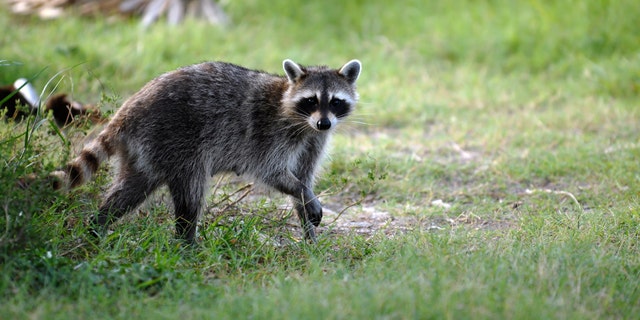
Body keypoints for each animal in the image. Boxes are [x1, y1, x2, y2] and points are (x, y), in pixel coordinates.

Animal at [58, 59, 360, 242]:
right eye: (311, 101)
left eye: (335, 101)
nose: (324, 123)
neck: (302, 120)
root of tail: (131, 106)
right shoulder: (269, 133)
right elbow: (272, 172)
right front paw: (305, 196)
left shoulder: (313, 141)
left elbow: (303, 177)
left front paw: (309, 229)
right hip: (175, 138)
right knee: (191, 193)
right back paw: (186, 241)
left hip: (146, 150)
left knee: (130, 189)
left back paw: (98, 225)